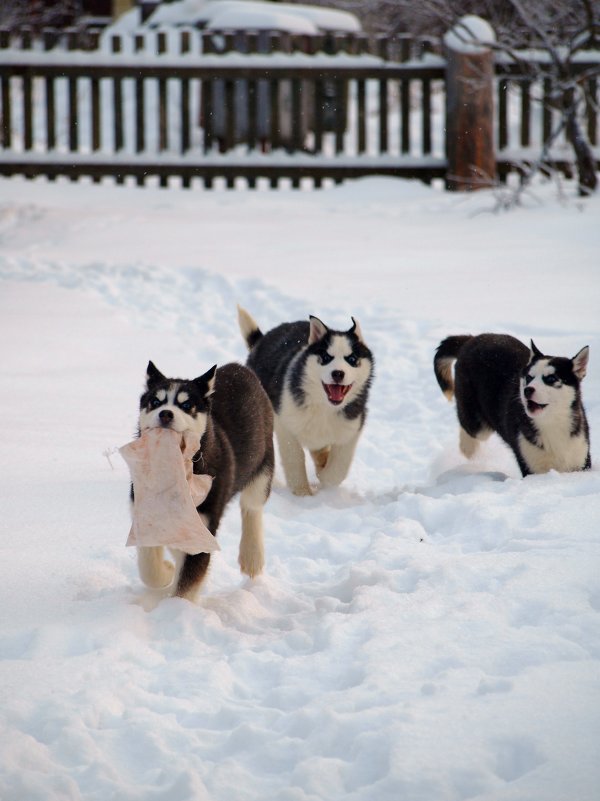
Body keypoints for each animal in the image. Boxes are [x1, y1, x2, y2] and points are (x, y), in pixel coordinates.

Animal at [135, 362, 274, 600]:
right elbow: (149, 568)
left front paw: (176, 607)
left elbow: (185, 586)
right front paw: (167, 572)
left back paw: (252, 556)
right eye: (155, 401)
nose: (165, 414)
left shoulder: (203, 529)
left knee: (252, 506)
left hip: (263, 464)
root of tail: (240, 368)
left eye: (186, 405)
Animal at [237, 306, 372, 494]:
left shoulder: (351, 426)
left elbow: (339, 466)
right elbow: (294, 457)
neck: (324, 407)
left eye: (351, 359)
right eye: (326, 357)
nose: (338, 373)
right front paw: (302, 493)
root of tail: (262, 340)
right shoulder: (284, 423)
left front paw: (325, 477)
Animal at [432, 332, 592, 476]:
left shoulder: (580, 459)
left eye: (551, 379)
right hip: (477, 422)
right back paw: (470, 452)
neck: (551, 423)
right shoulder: (532, 466)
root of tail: (473, 338)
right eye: (529, 378)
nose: (527, 390)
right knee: (468, 427)